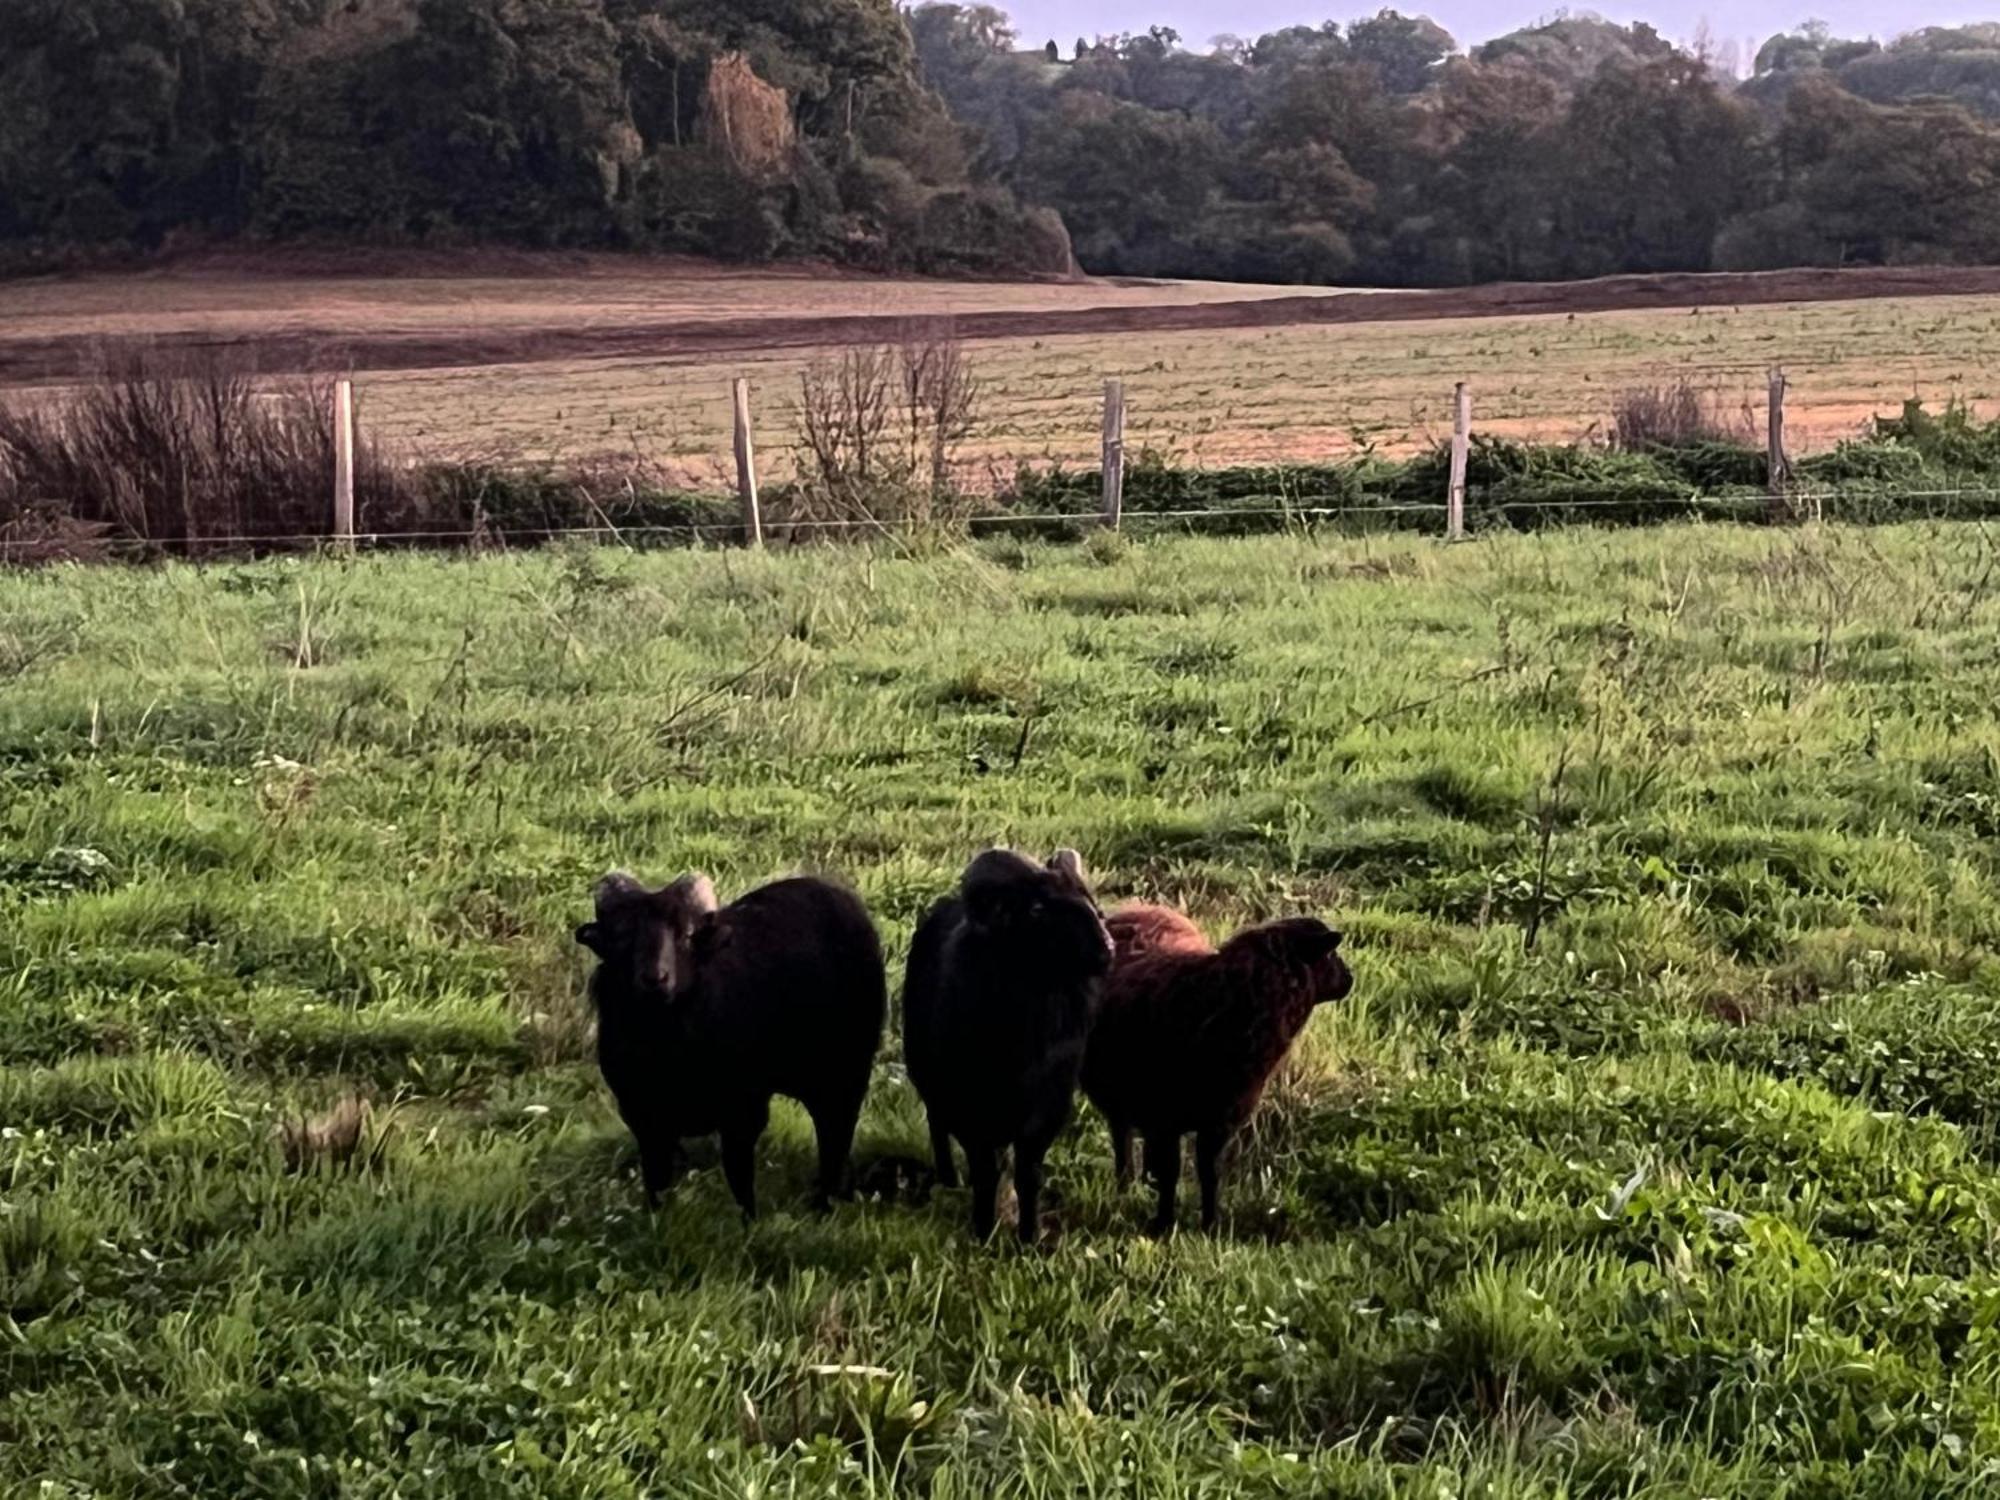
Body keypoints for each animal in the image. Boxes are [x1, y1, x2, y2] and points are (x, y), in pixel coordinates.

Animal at [904, 852, 1120, 1240]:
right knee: (937, 1126)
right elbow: (985, 1172)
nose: (1106, 947)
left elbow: (1028, 1175)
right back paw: (949, 1179)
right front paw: (982, 1230)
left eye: (1087, 896)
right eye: (1036, 908)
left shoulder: (1047, 1111)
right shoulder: (969, 1110)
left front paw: (1029, 1236)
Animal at [1088, 904, 1352, 1232]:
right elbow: (1172, 1171)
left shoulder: (1221, 1119)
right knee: (1121, 1136)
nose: (1350, 978)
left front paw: (1210, 1225)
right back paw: (1125, 1187)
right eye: (1330, 953)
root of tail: (1133, 909)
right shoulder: (1167, 1115)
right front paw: (1164, 1224)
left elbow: (1210, 1173)